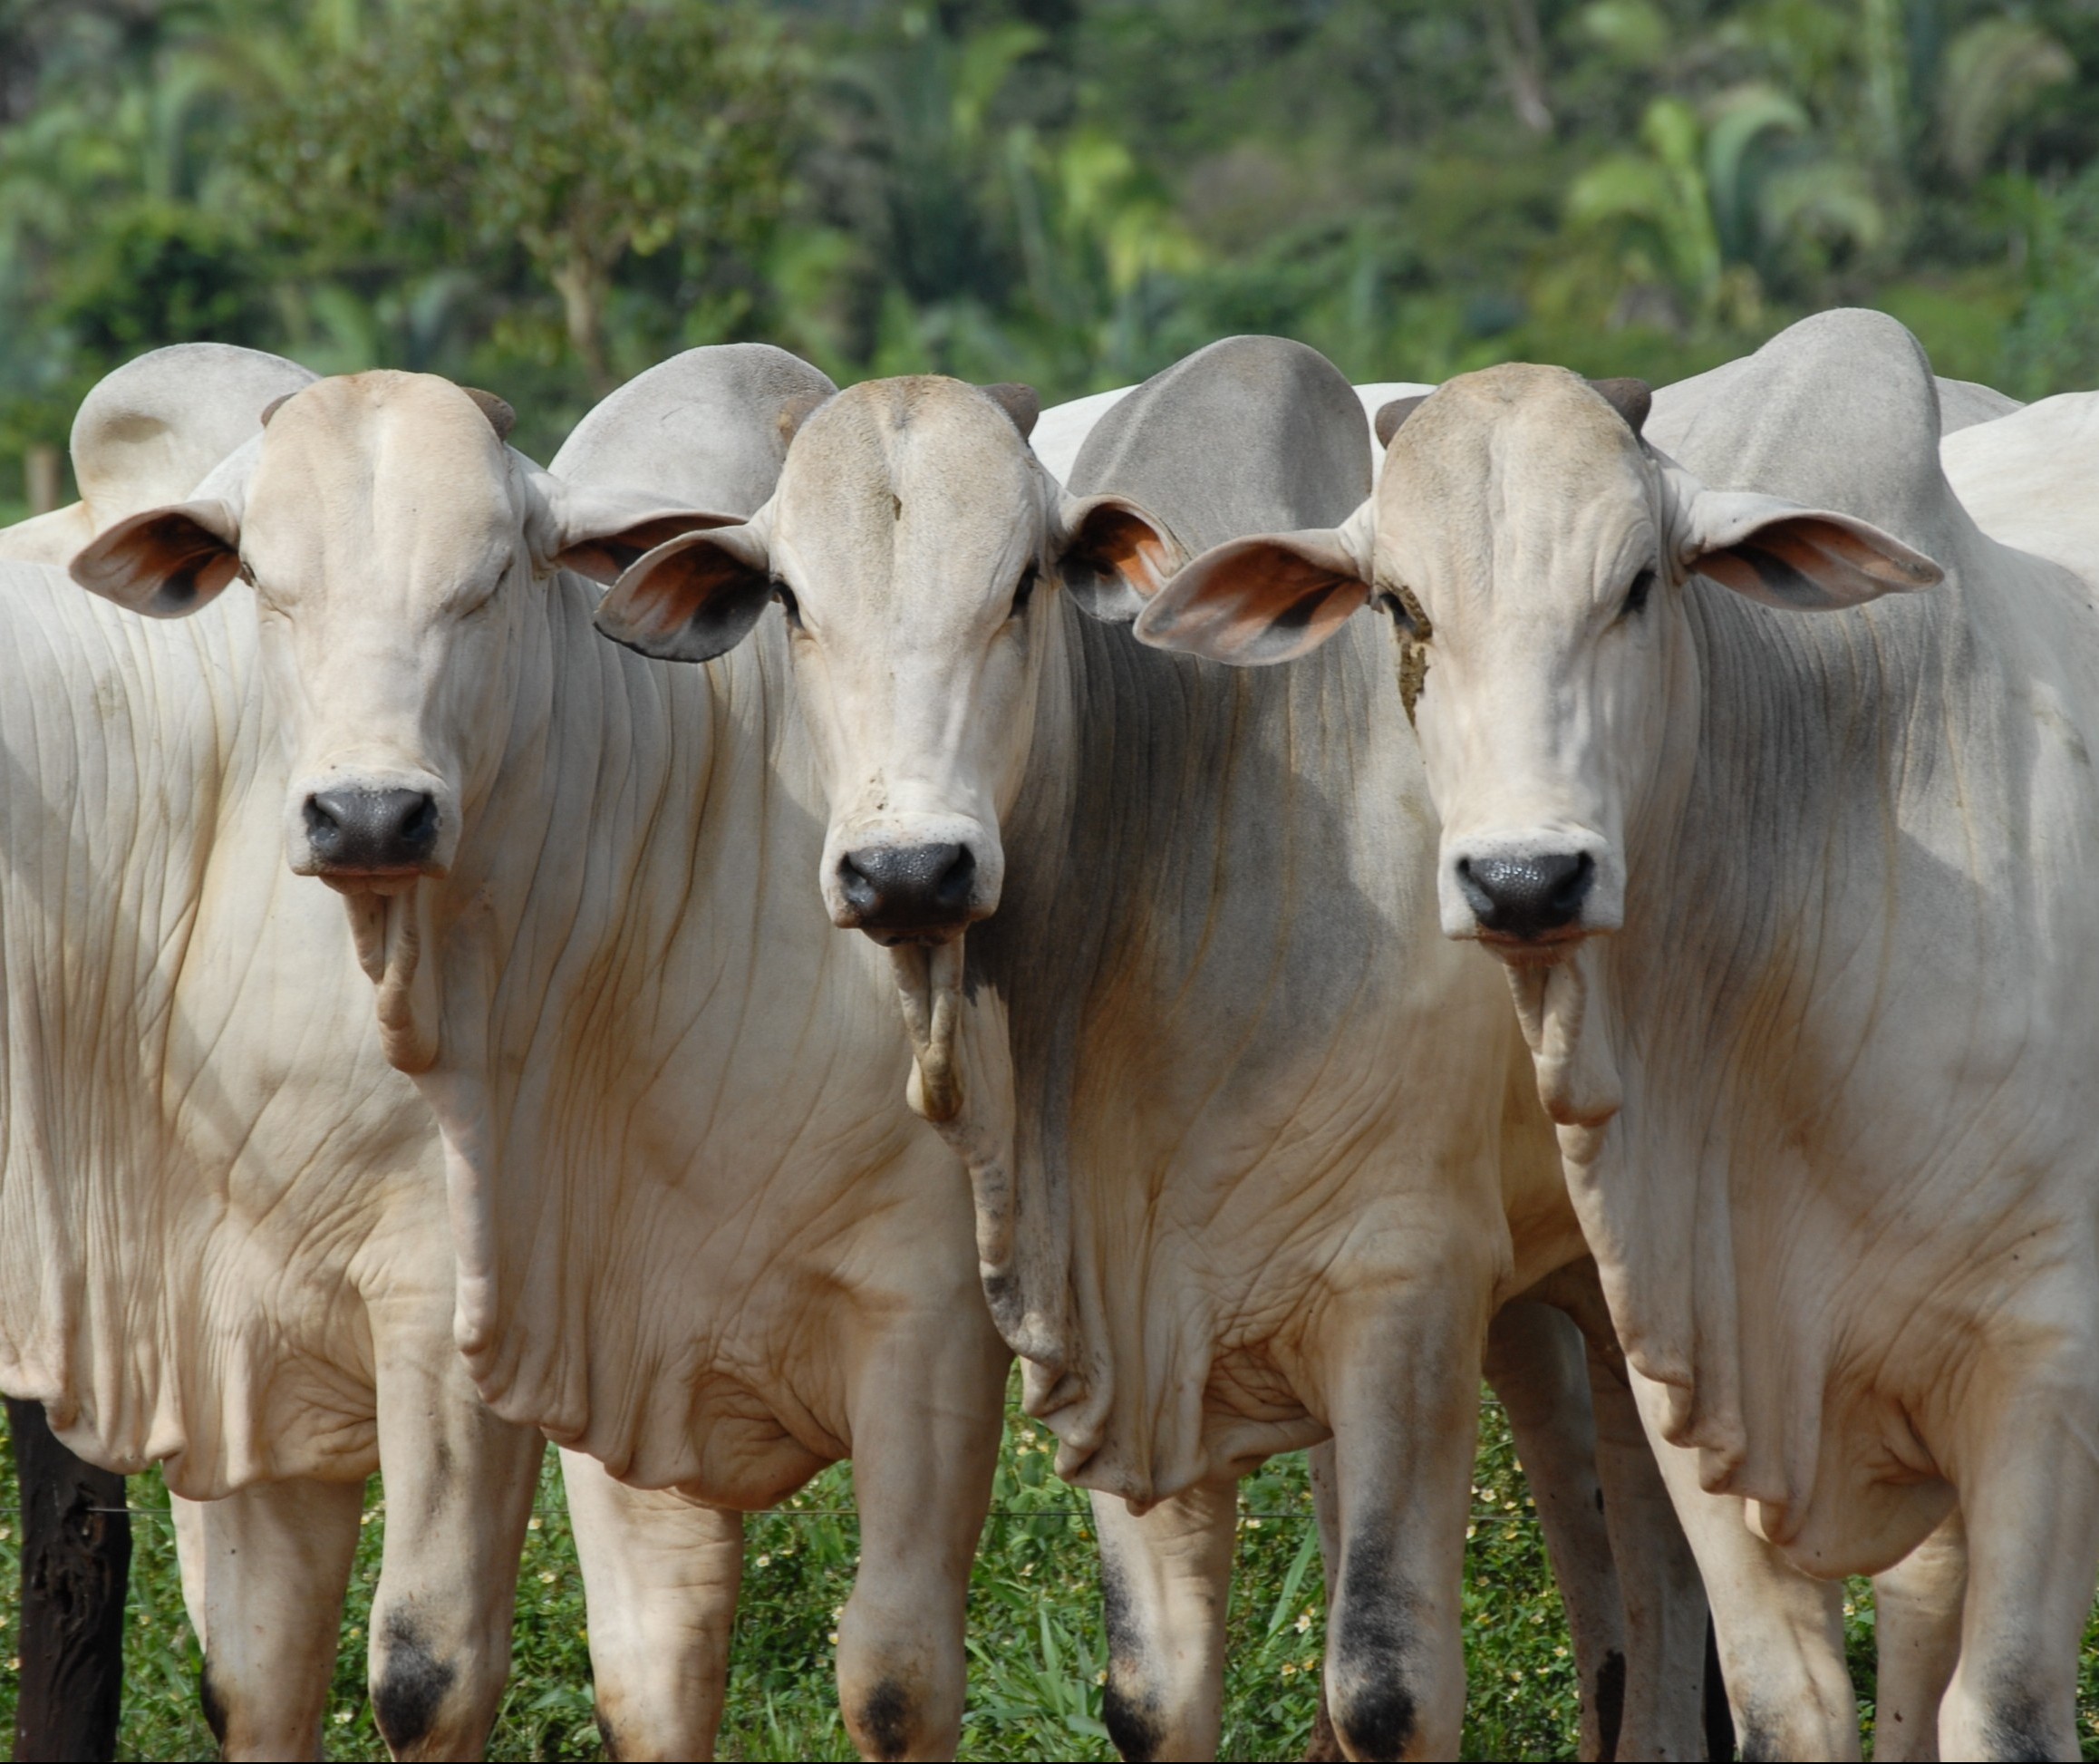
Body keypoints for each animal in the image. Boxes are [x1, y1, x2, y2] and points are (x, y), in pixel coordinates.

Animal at [73, 348, 1007, 1764]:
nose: (368, 814)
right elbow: (632, 1669)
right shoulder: (549, 1328)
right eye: (269, 585)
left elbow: (894, 1679)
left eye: (489, 580)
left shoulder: (932, 1323)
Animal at [587, 337, 1704, 1755]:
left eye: (1022, 583)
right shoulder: (1116, 1323)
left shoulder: (1408, 1291)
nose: (908, 869)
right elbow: (1152, 1690)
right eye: (788, 598)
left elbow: (1387, 1681)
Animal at [1141, 310, 2099, 1755]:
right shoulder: (1697, 1376)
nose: (1525, 879)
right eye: (1400, 606)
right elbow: (1785, 1707)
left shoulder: (2046, 1373)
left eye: (1640, 584)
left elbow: (2007, 1717)